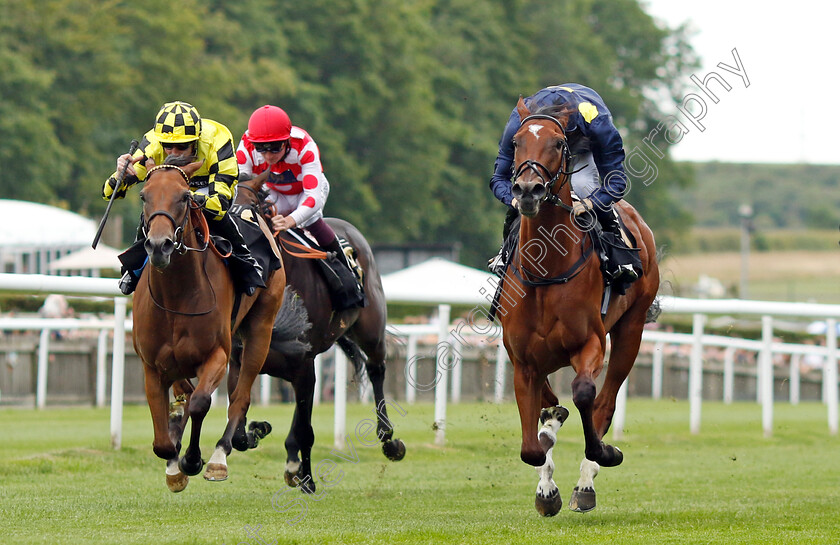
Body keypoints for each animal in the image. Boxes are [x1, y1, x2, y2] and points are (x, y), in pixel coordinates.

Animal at [131, 155, 288, 490]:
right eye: (143, 196)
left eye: (184, 196)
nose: (159, 246)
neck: (176, 296)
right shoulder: (153, 364)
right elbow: (162, 439)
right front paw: (174, 465)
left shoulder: (217, 353)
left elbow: (201, 402)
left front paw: (191, 460)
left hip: (261, 328)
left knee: (240, 396)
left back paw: (220, 454)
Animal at [226, 173, 404, 492]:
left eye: (252, 216)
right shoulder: (240, 363)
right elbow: (238, 430)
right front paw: (259, 429)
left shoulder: (304, 364)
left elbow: (306, 430)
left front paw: (308, 479)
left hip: (370, 329)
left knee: (376, 369)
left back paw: (388, 438)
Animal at [496, 99, 660, 516]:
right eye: (517, 142)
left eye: (557, 143)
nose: (527, 190)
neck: (546, 273)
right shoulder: (523, 361)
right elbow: (533, 446)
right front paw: (545, 489)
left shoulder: (591, 343)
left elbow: (586, 395)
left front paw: (602, 453)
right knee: (553, 410)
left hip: (631, 329)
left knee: (605, 402)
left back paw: (587, 481)